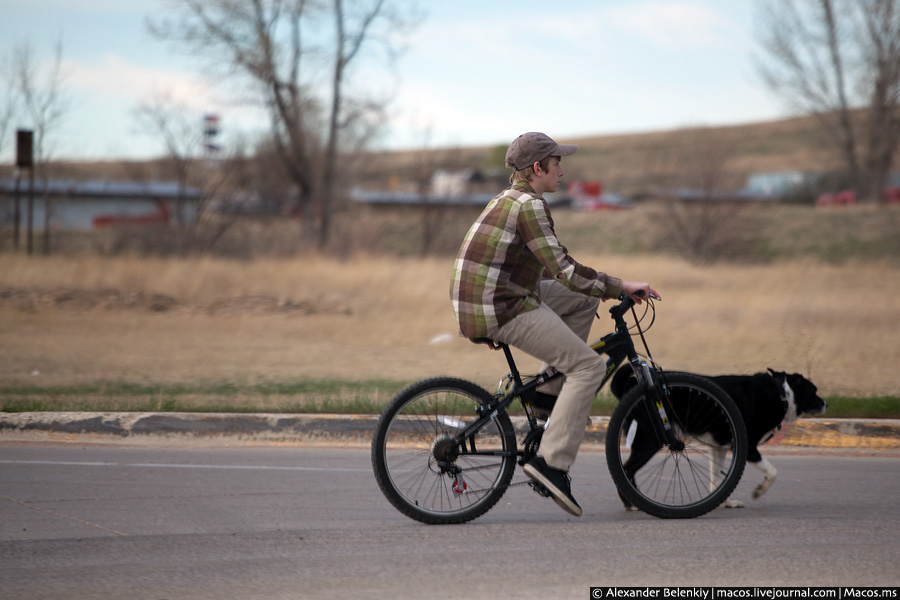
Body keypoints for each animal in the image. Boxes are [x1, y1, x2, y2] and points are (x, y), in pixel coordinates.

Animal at [612, 368, 824, 508]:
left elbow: (716, 479)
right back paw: (630, 503)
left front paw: (725, 503)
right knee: (626, 469)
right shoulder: (748, 447)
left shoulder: (718, 448)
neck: (781, 392)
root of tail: (633, 384)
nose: (826, 404)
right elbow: (772, 472)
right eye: (814, 391)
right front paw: (759, 491)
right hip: (649, 442)